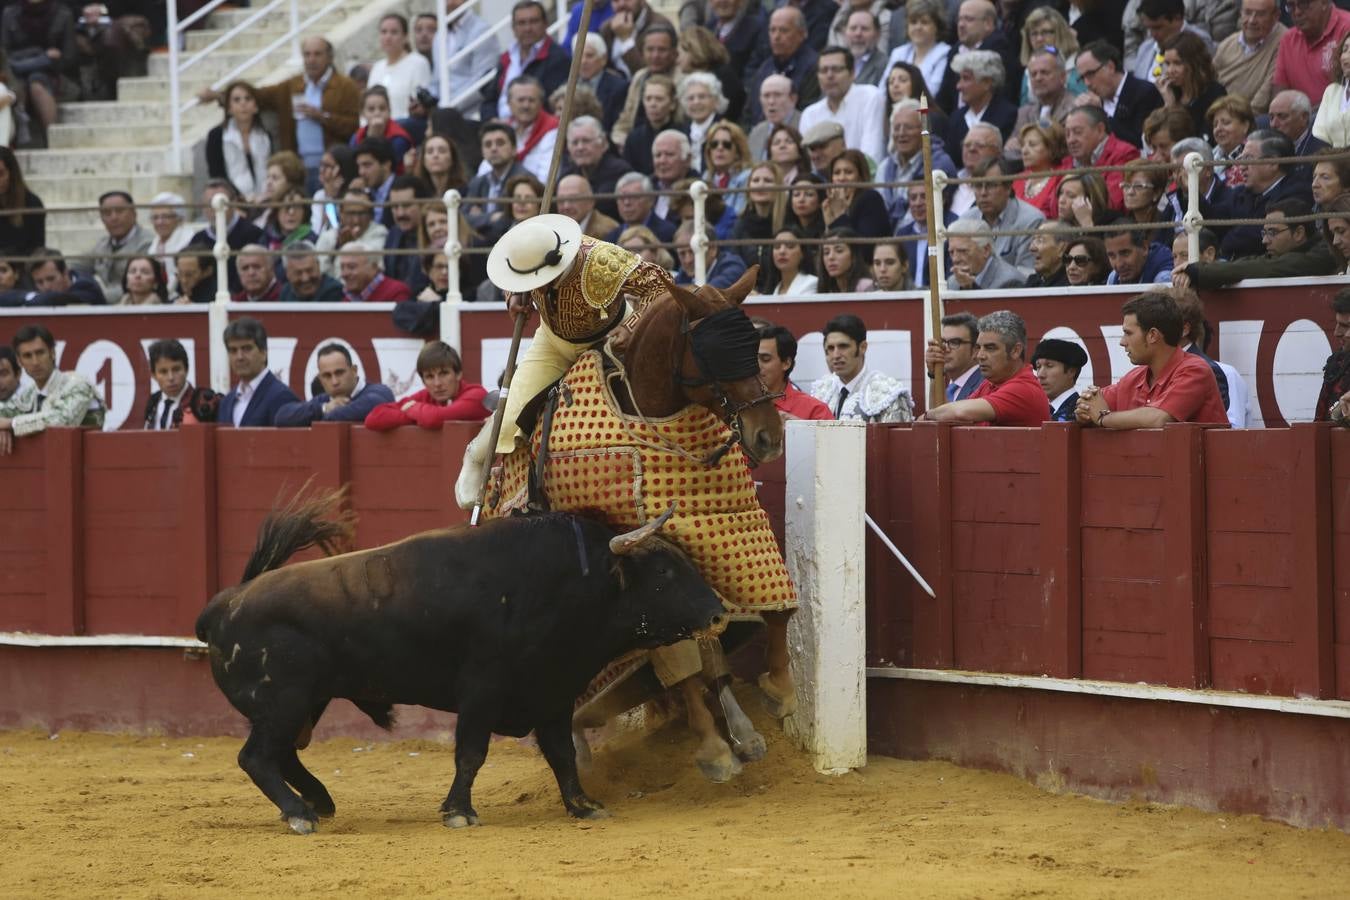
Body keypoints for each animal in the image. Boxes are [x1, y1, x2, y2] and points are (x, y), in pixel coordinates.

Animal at [194, 496, 723, 836]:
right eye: (664, 571)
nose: (718, 612)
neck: (571, 581)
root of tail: (223, 605)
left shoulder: (553, 691)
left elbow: (563, 754)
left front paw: (584, 805)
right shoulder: (483, 689)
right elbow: (471, 753)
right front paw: (459, 813)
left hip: (307, 700)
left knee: (282, 754)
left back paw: (317, 803)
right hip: (283, 699)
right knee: (257, 757)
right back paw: (299, 814)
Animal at [488, 264, 793, 782]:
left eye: (755, 348)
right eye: (711, 353)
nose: (768, 437)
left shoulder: (732, 531)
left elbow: (774, 609)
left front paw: (779, 693)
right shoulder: (643, 556)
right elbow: (676, 647)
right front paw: (713, 748)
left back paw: (739, 726)